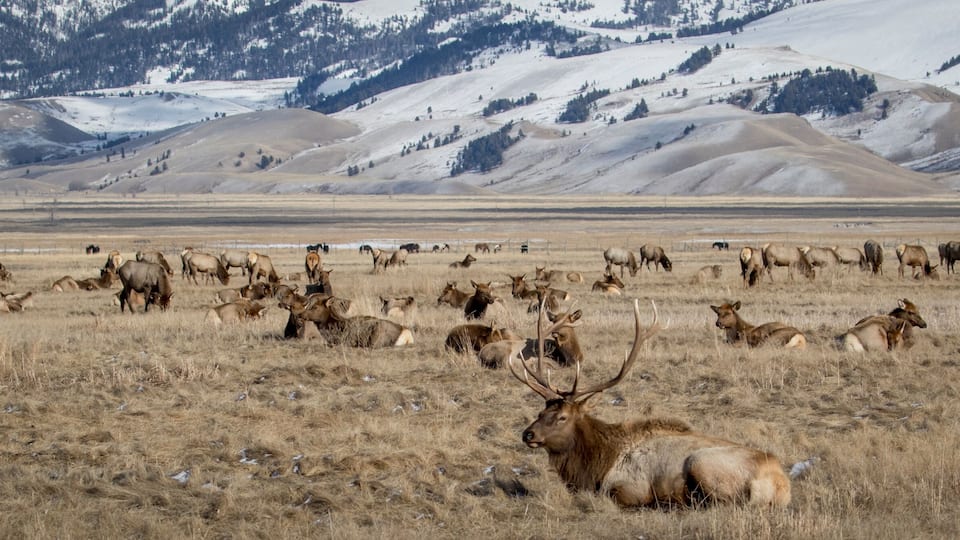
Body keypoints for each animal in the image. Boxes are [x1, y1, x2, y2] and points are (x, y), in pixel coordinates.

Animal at [510, 299, 791, 508]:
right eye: (541, 411)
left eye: (563, 417)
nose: (528, 434)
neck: (596, 464)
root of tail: (781, 485)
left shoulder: (628, 487)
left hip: (702, 463)